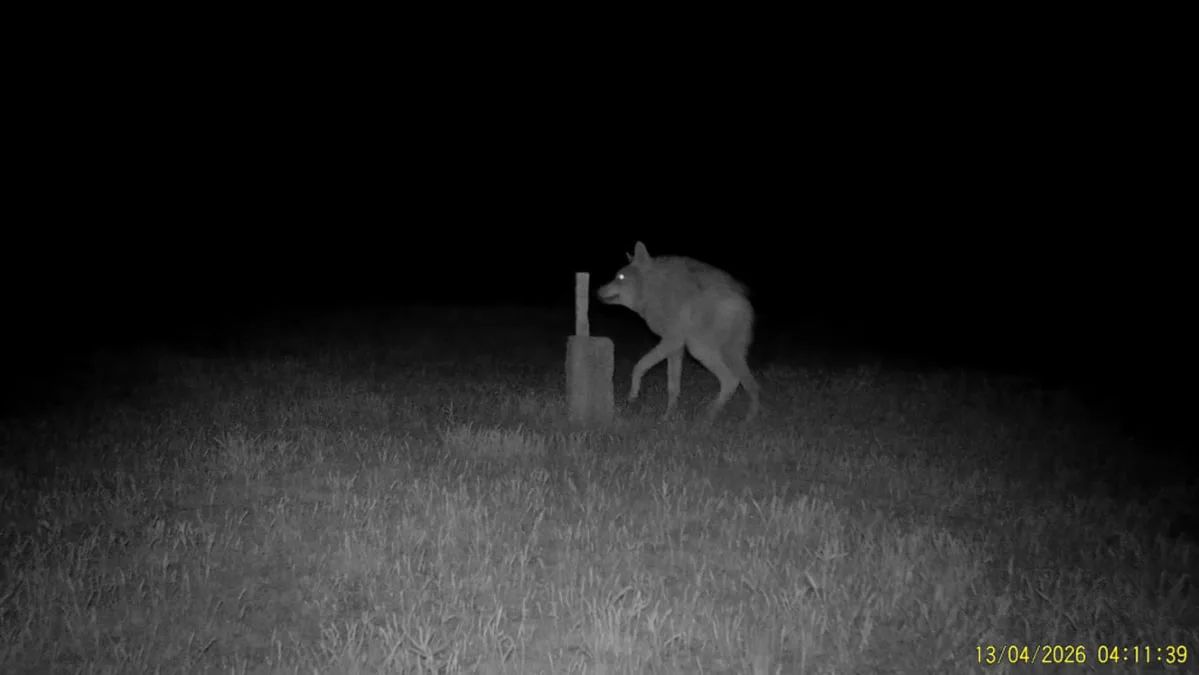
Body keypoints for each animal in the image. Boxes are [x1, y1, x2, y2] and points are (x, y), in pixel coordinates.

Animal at [596, 241, 761, 422]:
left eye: (620, 278)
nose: (597, 291)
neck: (654, 291)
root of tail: (745, 304)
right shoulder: (676, 348)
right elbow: (673, 387)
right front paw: (668, 416)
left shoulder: (672, 341)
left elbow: (639, 366)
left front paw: (633, 396)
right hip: (705, 350)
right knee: (734, 381)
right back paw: (711, 417)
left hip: (706, 351)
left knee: (743, 383)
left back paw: (745, 419)